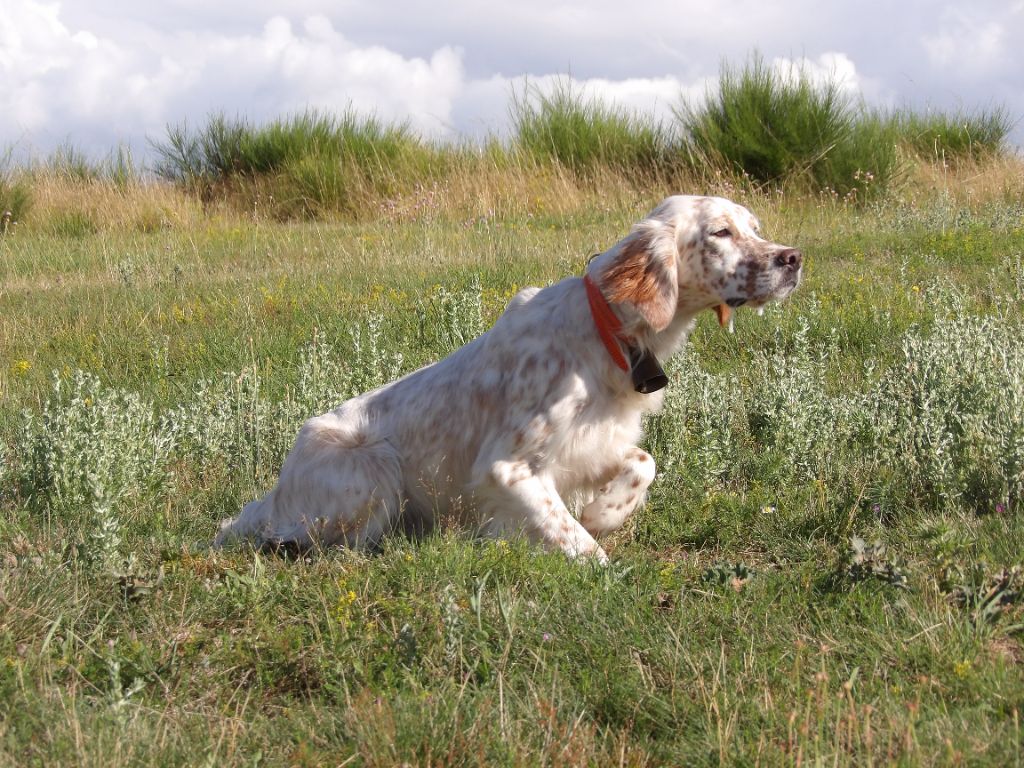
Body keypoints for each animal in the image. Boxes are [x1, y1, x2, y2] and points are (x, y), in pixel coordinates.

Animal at [216, 195, 802, 561]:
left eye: (754, 229)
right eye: (721, 232)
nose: (793, 259)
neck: (607, 328)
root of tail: (273, 494)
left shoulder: (591, 445)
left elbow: (642, 463)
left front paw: (605, 512)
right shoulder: (510, 469)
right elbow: (581, 546)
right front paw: (598, 547)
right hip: (374, 470)